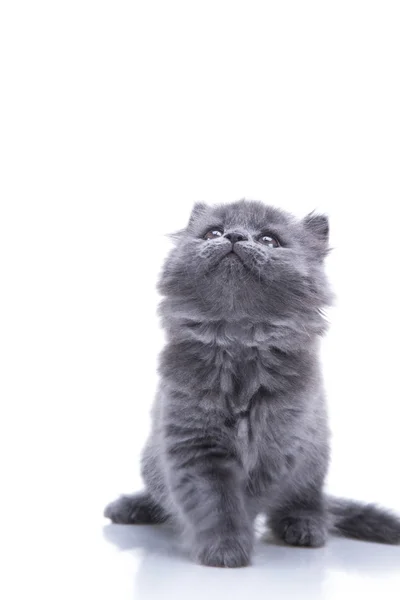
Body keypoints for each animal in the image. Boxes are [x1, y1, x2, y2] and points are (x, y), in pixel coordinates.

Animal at [104, 198, 400, 568]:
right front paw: (225, 550)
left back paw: (304, 527)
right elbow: (215, 502)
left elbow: (247, 501)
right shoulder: (194, 444)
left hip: (314, 458)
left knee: (310, 501)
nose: (233, 236)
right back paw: (129, 507)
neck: (239, 339)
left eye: (269, 240)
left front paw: (235, 544)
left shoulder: (280, 445)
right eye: (213, 233)